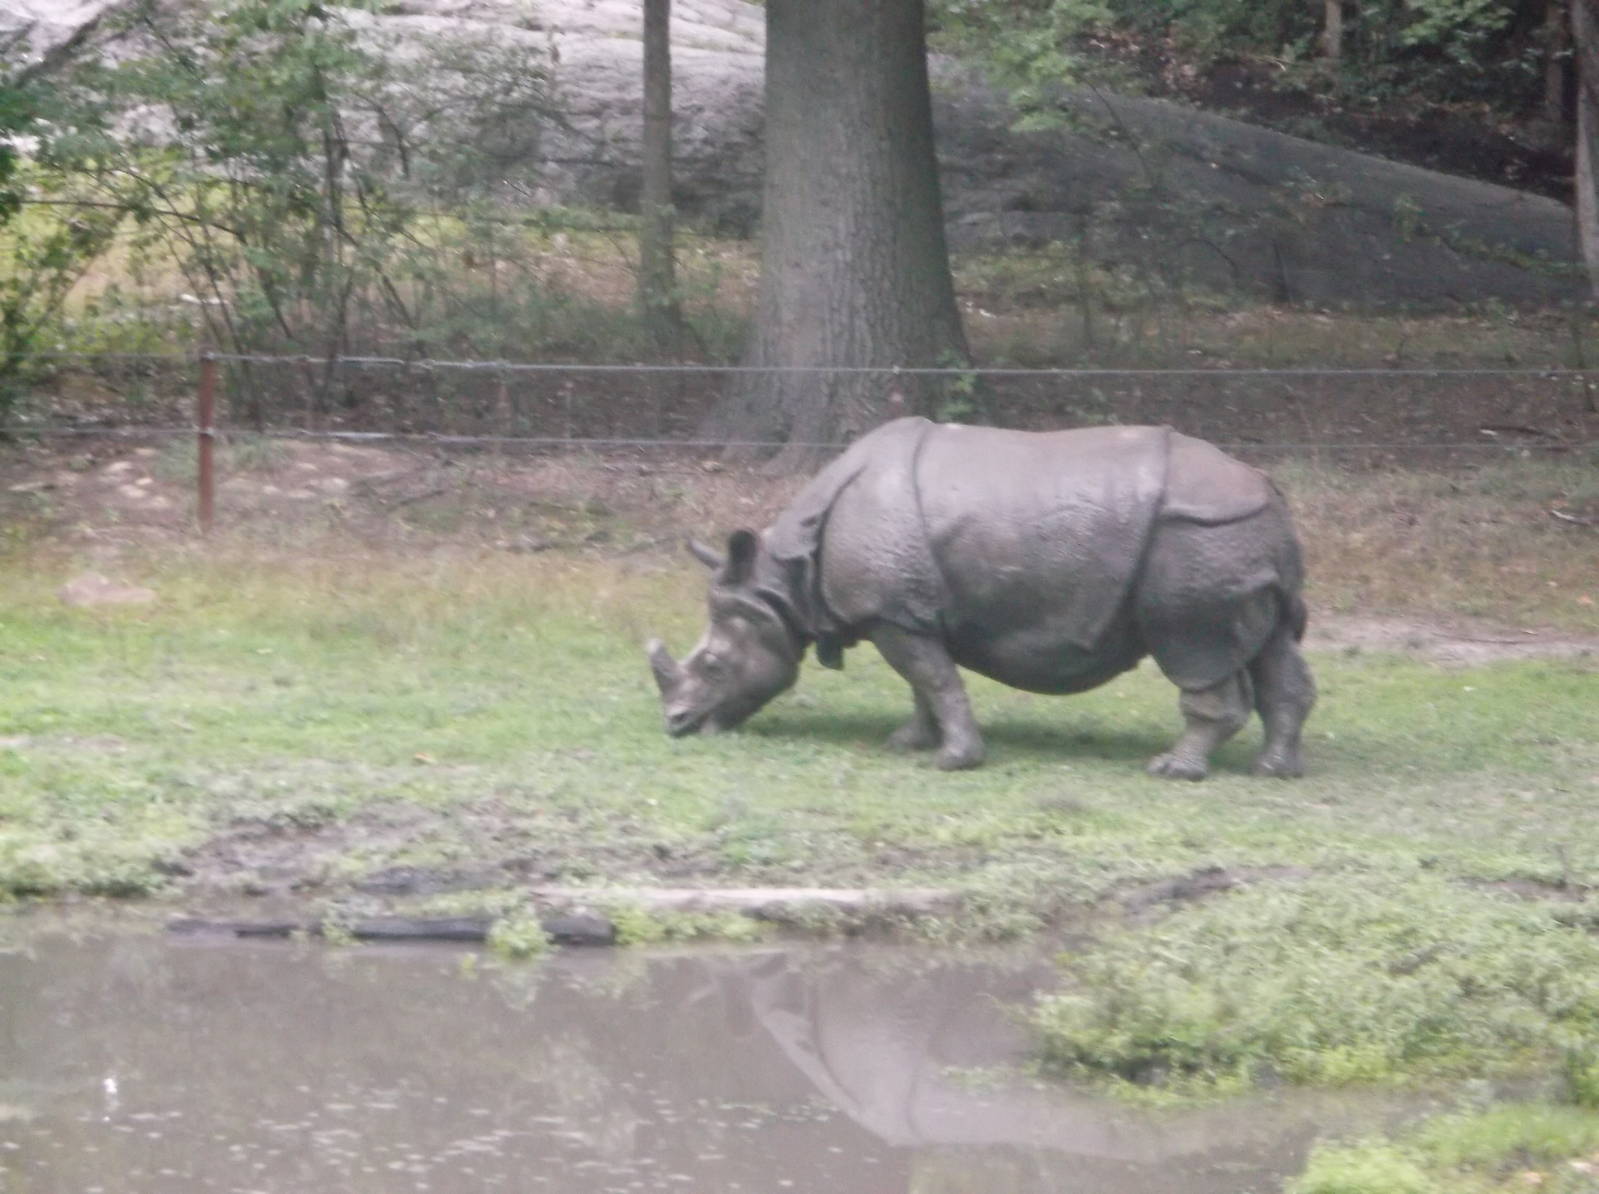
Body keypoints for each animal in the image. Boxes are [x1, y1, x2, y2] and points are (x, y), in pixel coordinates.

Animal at [647, 418, 1315, 777]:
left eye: (714, 665)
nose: (676, 725)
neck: (785, 579)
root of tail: (1270, 491)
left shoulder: (893, 612)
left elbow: (936, 679)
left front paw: (952, 761)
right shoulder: (904, 611)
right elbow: (923, 682)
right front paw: (909, 742)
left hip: (1199, 534)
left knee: (1194, 648)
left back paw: (1172, 770)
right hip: (1237, 536)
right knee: (1271, 648)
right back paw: (1273, 769)